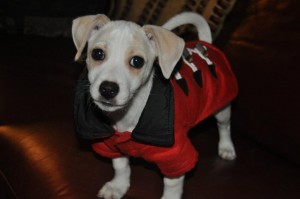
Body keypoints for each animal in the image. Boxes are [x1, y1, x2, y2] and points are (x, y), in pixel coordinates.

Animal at [72, 12, 237, 199]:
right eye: (98, 53)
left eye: (137, 61)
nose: (108, 89)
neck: (128, 116)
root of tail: (205, 44)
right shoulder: (112, 145)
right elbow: (121, 167)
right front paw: (118, 186)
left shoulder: (175, 156)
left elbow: (172, 183)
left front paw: (170, 196)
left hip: (221, 108)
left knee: (224, 126)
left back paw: (226, 147)